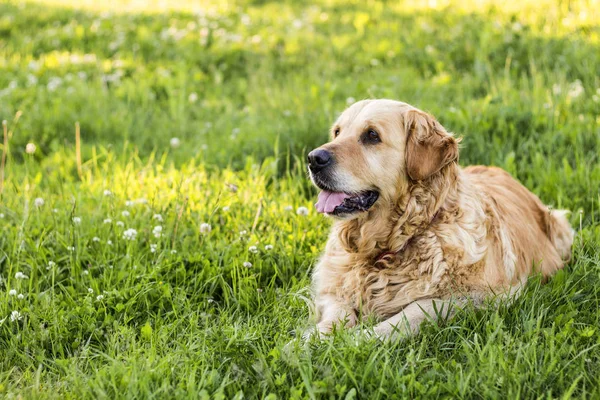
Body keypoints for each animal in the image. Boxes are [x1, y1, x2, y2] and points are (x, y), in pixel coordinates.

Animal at [308, 98, 576, 340]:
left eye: (372, 135)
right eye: (337, 132)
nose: (313, 158)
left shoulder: (484, 295)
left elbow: (413, 312)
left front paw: (358, 340)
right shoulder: (333, 287)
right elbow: (336, 313)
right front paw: (310, 341)